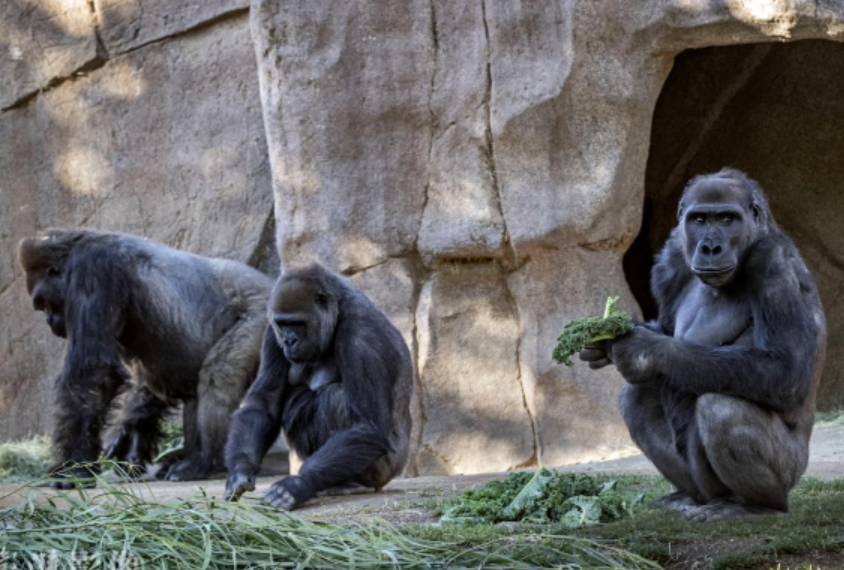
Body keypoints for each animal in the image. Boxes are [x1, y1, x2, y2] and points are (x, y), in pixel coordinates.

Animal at [19, 229, 274, 486]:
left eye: (44, 303)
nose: (49, 321)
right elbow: (154, 378)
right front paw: (132, 432)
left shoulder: (93, 268)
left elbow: (94, 374)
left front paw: (74, 465)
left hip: (262, 313)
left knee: (218, 374)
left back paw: (204, 460)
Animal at [223, 264, 410, 508]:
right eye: (283, 324)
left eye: (298, 323)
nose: (289, 341)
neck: (338, 311)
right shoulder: (272, 334)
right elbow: (263, 405)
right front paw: (239, 471)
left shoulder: (363, 336)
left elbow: (367, 426)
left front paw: (298, 484)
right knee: (298, 399)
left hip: (386, 470)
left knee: (335, 397)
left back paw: (352, 483)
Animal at [580, 168, 824, 520]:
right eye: (699, 219)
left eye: (727, 219)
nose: (710, 247)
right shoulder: (671, 260)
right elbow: (666, 329)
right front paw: (607, 339)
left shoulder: (774, 261)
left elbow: (784, 370)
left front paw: (642, 351)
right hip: (700, 485)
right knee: (637, 397)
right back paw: (687, 495)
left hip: (792, 471)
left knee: (721, 408)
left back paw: (754, 505)